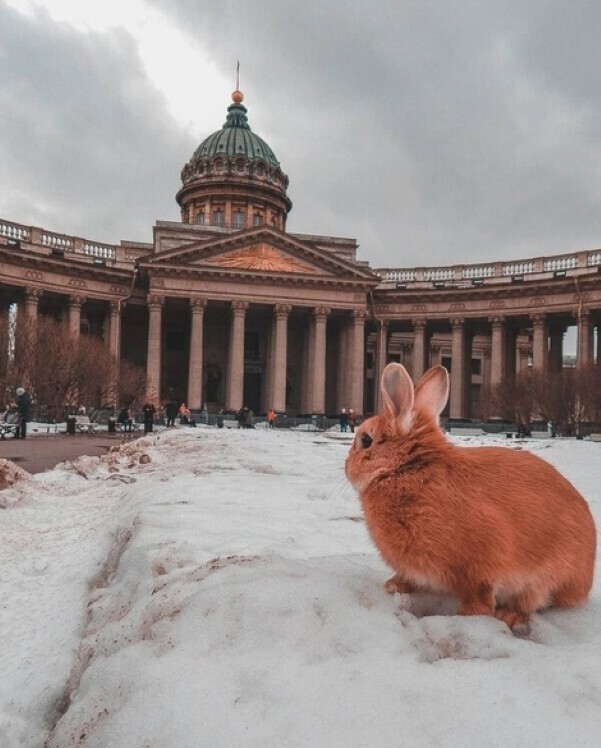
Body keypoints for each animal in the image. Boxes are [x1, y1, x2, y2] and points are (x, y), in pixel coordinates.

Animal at [344, 362, 592, 632]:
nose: (347, 468)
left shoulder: (481, 567)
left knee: (531, 600)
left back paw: (508, 615)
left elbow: (479, 597)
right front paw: (393, 586)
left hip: (543, 576)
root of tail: (586, 578)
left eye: (366, 440)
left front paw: (466, 616)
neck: (407, 469)